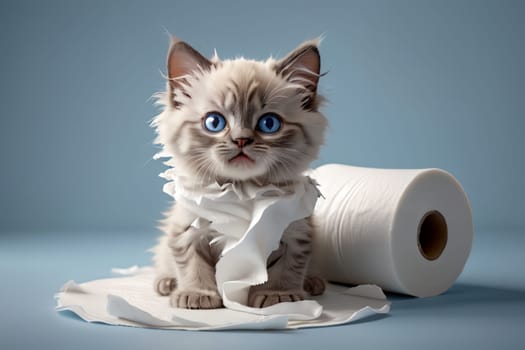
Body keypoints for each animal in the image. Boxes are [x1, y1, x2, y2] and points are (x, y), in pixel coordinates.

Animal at [149, 37, 326, 308]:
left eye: (269, 124)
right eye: (214, 122)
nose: (241, 140)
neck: (242, 192)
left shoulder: (295, 232)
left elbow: (288, 267)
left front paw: (278, 295)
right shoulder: (186, 229)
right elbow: (192, 263)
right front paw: (197, 294)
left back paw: (313, 282)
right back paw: (166, 283)